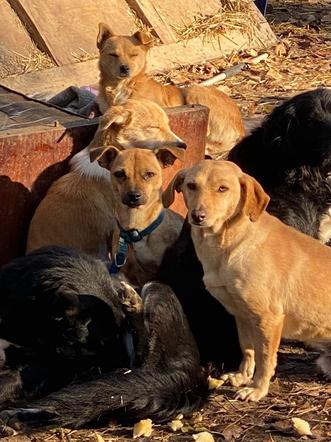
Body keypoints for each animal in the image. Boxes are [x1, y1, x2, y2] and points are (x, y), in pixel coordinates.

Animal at [0, 245, 208, 428]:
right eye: (102, 342)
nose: (114, 366)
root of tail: (193, 375)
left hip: (156, 290)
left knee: (144, 361)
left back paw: (134, 305)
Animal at [96, 22, 246, 157]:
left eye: (134, 55)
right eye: (113, 55)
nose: (124, 68)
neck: (124, 86)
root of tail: (241, 128)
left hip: (193, 89)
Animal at [165, 159, 331, 400]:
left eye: (222, 188)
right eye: (191, 185)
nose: (198, 216)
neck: (230, 243)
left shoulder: (269, 318)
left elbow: (265, 359)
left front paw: (257, 389)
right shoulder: (242, 315)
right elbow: (247, 349)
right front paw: (243, 377)